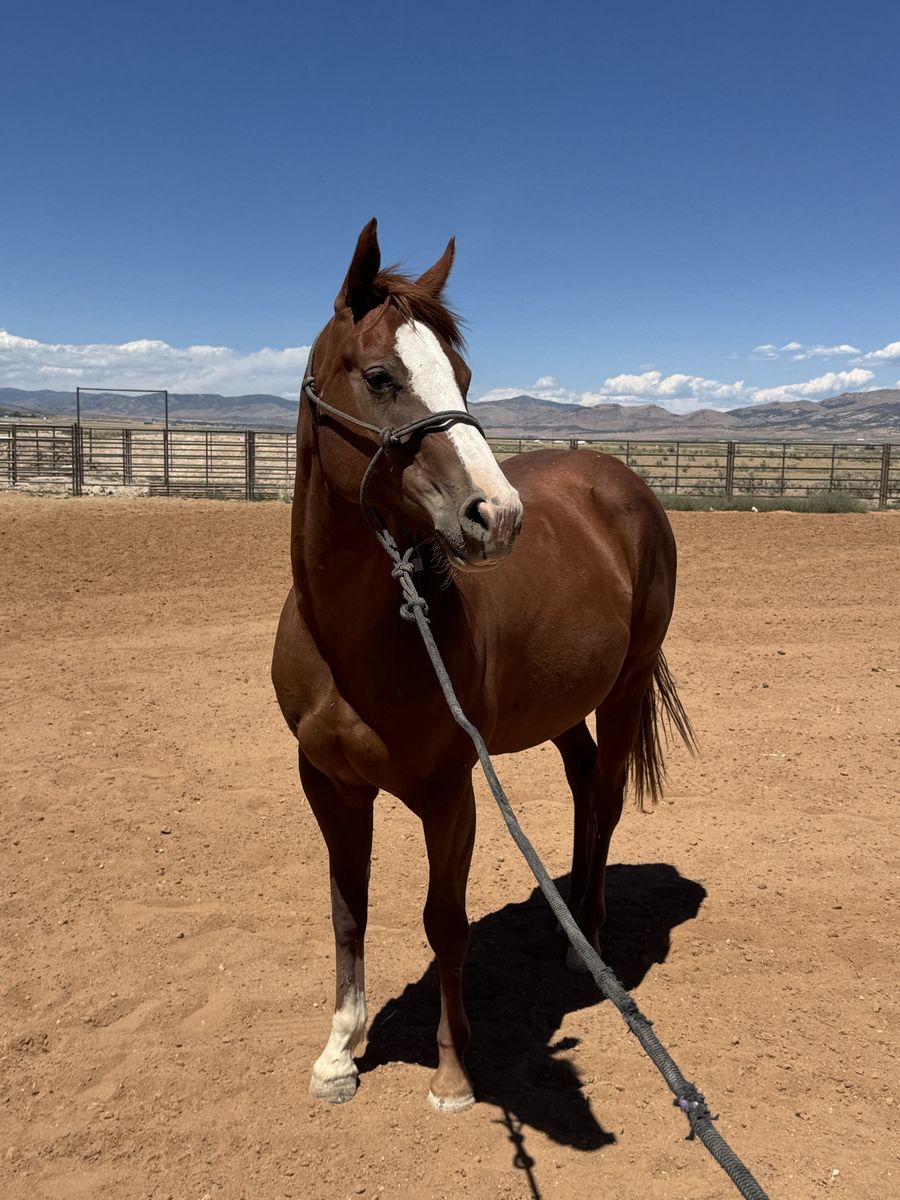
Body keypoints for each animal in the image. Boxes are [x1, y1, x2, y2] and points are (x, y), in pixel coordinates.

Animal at [271, 219, 694, 1114]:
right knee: (583, 783)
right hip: (562, 705)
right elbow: (348, 911)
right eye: (381, 376)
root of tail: (621, 481)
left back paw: (586, 940)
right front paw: (339, 1056)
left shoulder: (450, 791)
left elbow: (444, 919)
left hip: (625, 686)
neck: (356, 643)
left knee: (607, 795)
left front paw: (453, 1073)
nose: (497, 516)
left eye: (462, 377)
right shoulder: (326, 783)